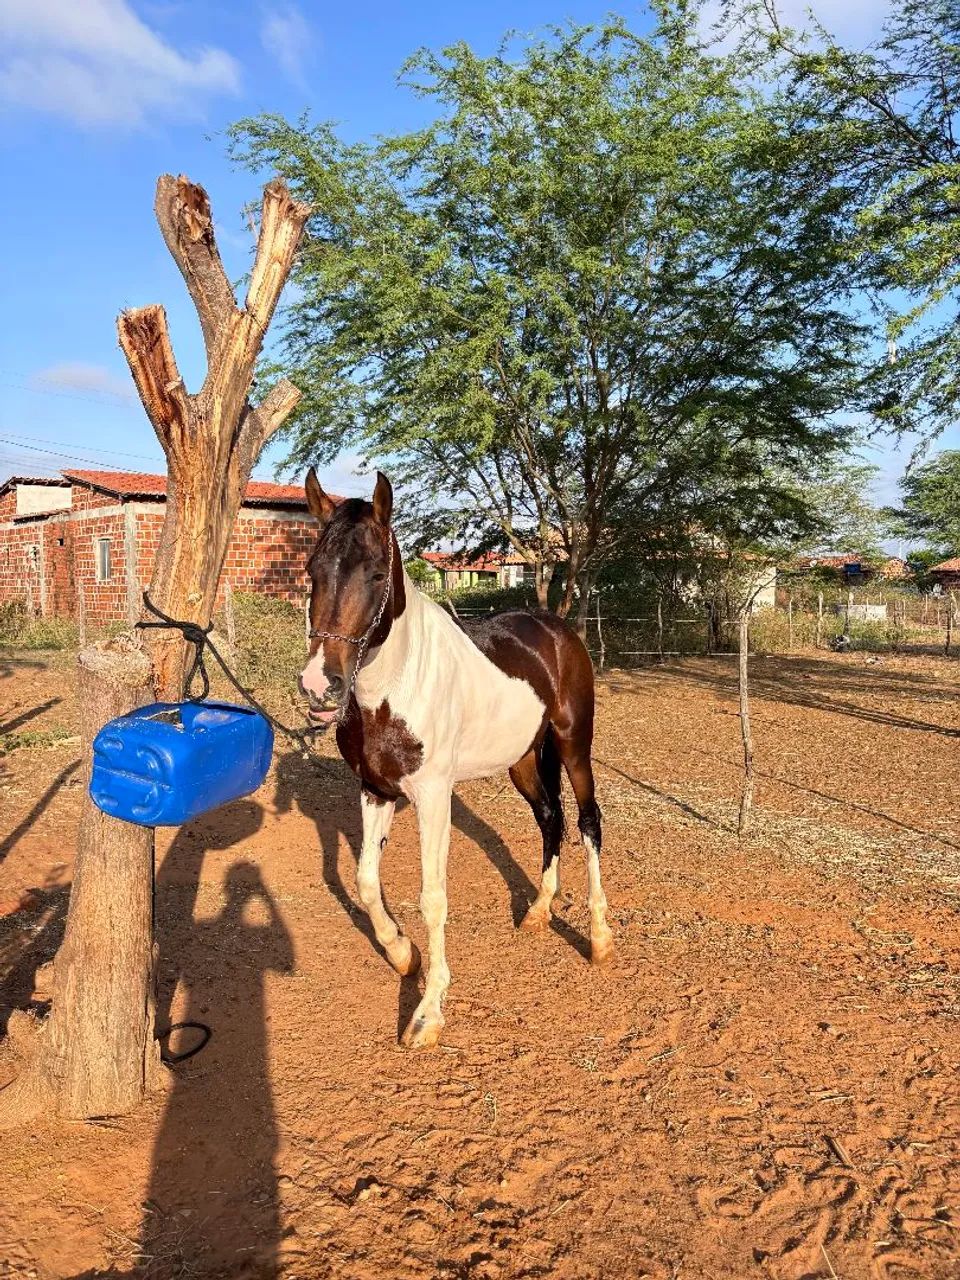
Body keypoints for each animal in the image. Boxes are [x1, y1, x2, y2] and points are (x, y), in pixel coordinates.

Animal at [298, 468, 613, 1048]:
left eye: (377, 574)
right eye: (312, 571)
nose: (319, 685)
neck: (396, 686)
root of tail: (557, 631)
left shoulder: (432, 798)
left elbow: (433, 897)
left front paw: (428, 1012)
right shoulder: (375, 790)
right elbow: (366, 881)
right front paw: (402, 954)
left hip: (574, 746)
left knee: (587, 822)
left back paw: (600, 937)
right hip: (524, 761)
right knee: (551, 819)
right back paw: (538, 912)